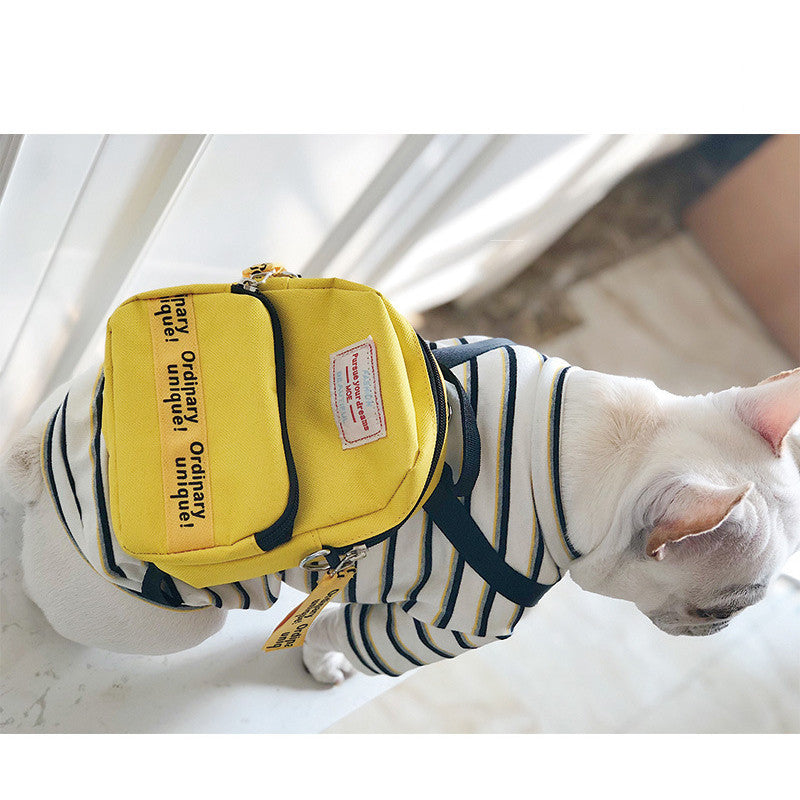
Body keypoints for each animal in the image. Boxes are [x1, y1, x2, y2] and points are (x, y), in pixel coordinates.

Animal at [1, 340, 800, 688]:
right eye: (719, 610)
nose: (721, 629)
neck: (623, 444)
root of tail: (43, 461)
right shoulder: (445, 627)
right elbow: (351, 633)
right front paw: (324, 658)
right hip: (160, 616)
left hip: (79, 386)